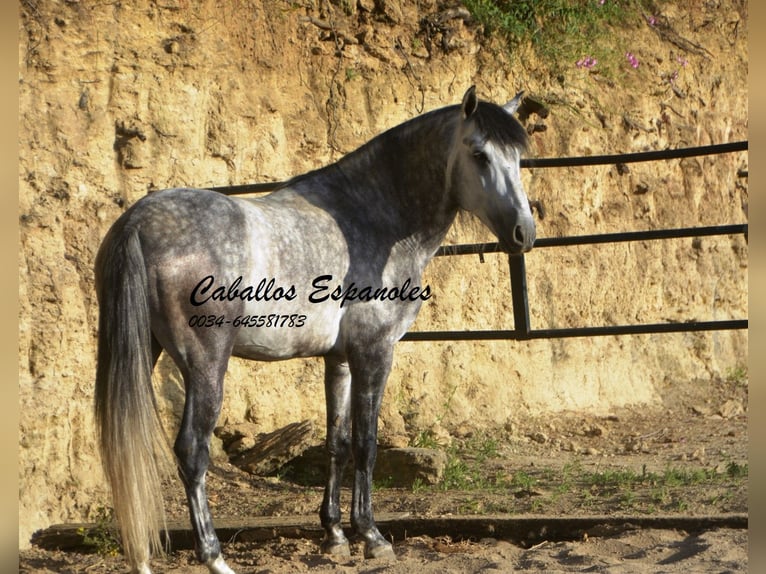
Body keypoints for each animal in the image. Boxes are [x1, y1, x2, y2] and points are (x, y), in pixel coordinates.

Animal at [94, 86, 536, 574]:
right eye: (478, 154)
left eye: (518, 157)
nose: (524, 232)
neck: (371, 216)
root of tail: (139, 222)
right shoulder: (374, 351)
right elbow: (366, 443)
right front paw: (372, 537)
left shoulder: (338, 358)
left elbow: (336, 443)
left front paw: (335, 536)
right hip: (205, 363)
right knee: (192, 451)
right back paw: (215, 558)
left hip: (144, 351)